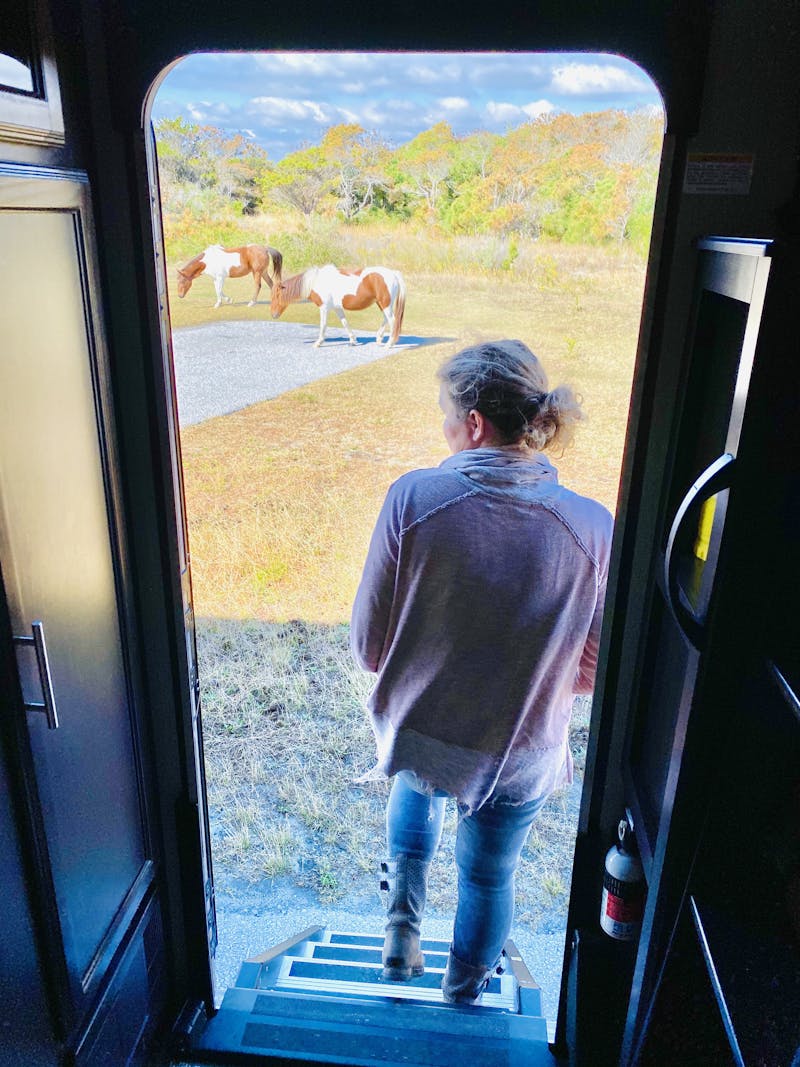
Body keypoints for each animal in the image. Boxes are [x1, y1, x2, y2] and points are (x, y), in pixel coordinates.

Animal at [270, 264, 407, 347]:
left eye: (276, 296)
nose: (273, 315)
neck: (316, 281)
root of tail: (393, 273)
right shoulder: (337, 308)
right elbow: (345, 323)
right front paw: (353, 340)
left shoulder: (324, 307)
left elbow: (323, 325)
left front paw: (318, 342)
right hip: (382, 303)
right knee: (386, 319)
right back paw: (379, 338)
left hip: (385, 303)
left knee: (392, 320)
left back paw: (389, 343)